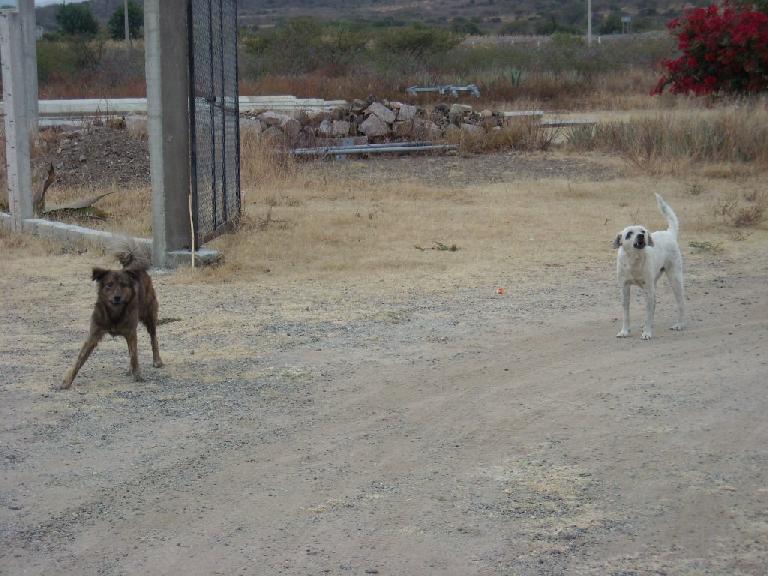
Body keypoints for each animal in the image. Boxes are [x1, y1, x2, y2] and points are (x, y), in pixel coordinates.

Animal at [59, 241, 163, 390]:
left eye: (124, 285)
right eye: (109, 285)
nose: (117, 297)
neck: (114, 312)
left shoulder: (131, 332)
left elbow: (134, 355)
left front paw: (137, 374)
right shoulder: (94, 334)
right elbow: (79, 359)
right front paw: (67, 381)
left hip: (149, 316)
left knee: (153, 338)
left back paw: (157, 360)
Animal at [616, 194, 688, 340]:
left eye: (643, 231)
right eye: (629, 233)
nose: (641, 236)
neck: (635, 260)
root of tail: (669, 233)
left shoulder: (648, 290)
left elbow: (648, 314)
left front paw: (647, 332)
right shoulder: (624, 289)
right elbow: (626, 313)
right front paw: (625, 331)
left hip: (675, 280)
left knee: (681, 303)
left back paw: (680, 324)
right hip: (655, 285)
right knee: (654, 304)